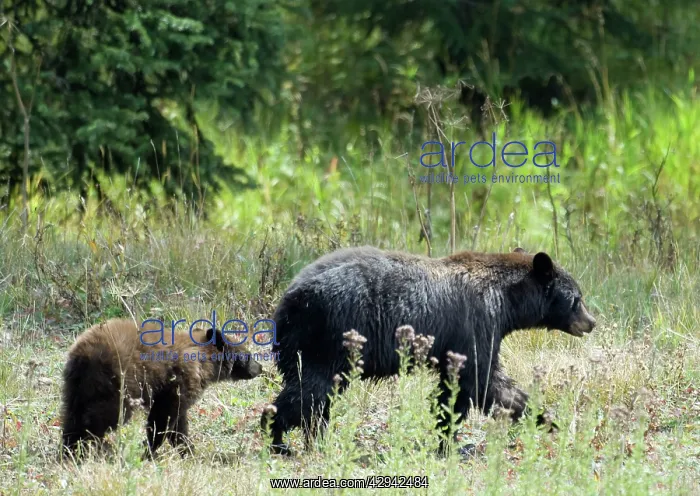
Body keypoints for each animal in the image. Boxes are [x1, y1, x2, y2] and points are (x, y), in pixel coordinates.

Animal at [60, 318, 263, 460]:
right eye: (248, 355)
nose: (260, 367)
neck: (204, 360)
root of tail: (83, 354)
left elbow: (178, 424)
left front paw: (188, 451)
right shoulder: (179, 382)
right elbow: (163, 418)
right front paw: (149, 451)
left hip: (76, 385)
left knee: (72, 414)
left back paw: (70, 450)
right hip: (117, 380)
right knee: (105, 415)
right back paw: (94, 446)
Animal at [261, 245, 596, 455]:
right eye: (577, 298)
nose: (591, 322)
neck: (506, 300)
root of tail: (287, 301)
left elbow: (474, 387)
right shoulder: (477, 323)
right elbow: (481, 381)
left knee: (316, 399)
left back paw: (315, 441)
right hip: (327, 339)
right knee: (309, 393)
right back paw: (278, 439)